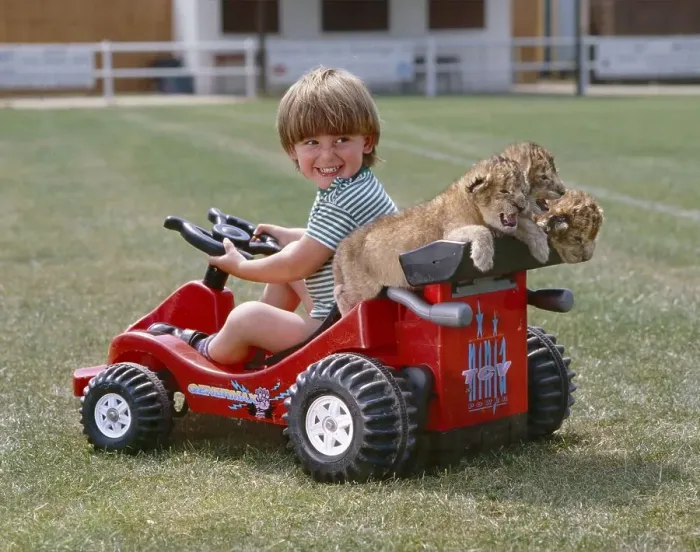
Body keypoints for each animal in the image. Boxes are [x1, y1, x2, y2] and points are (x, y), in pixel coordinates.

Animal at [333, 155, 539, 315]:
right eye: (504, 191)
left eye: (523, 191)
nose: (522, 206)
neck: (476, 209)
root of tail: (342, 246)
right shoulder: (448, 234)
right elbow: (481, 230)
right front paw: (483, 260)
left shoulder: (503, 227)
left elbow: (524, 226)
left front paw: (540, 248)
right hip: (364, 289)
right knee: (342, 293)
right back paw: (347, 314)